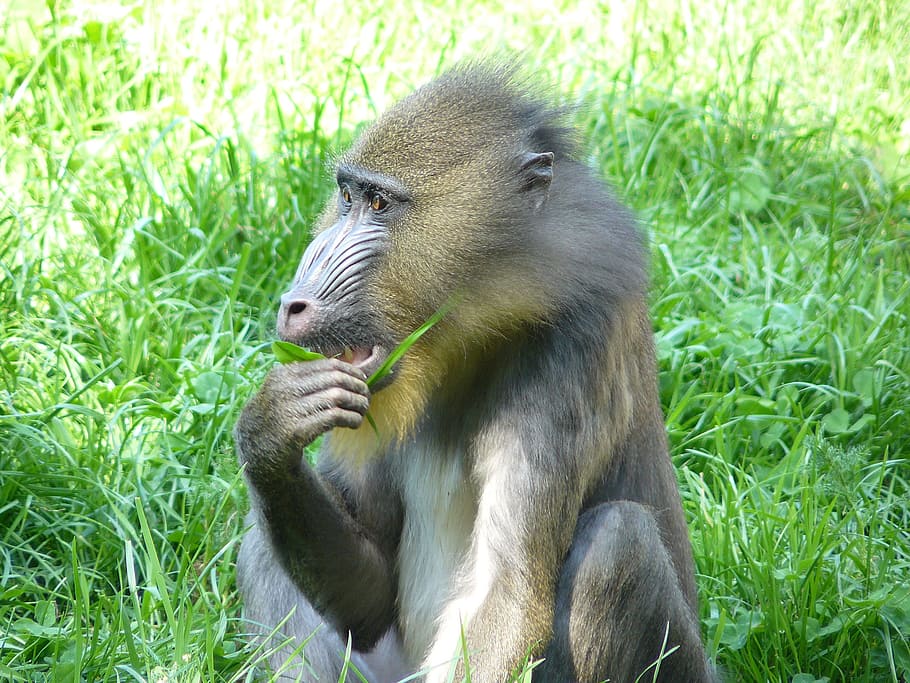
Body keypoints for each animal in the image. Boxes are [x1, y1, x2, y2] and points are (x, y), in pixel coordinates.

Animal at [234, 63, 714, 682]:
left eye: (380, 203)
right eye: (347, 196)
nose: (294, 305)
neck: (471, 342)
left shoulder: (574, 347)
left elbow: (505, 593)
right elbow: (369, 594)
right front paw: (272, 427)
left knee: (618, 544)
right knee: (260, 550)